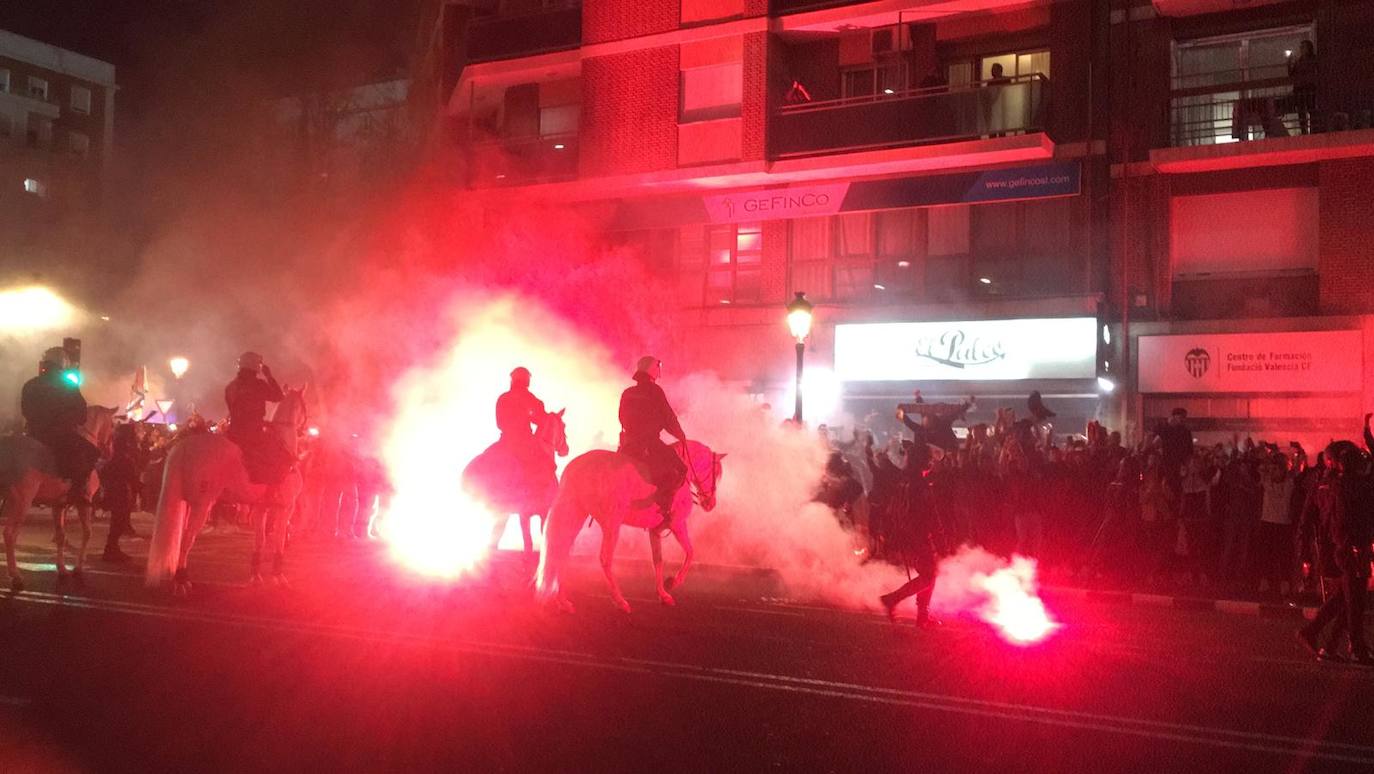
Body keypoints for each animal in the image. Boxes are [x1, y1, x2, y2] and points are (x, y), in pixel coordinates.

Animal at [0, 406, 115, 593]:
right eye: (113, 425)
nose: (110, 453)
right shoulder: (84, 504)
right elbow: (87, 532)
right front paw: (78, 568)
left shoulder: (58, 505)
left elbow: (61, 535)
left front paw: (62, 569)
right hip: (21, 502)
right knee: (10, 534)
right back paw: (16, 576)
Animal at [144, 387, 306, 593]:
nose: (303, 429)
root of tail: (184, 446)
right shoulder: (285, 508)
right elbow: (279, 541)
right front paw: (278, 577)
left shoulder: (261, 509)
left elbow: (260, 540)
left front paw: (256, 577)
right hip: (202, 505)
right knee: (187, 539)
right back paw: (181, 581)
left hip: (188, 504)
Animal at [535, 445, 725, 615]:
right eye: (715, 472)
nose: (710, 504)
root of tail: (577, 466)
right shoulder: (678, 525)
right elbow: (690, 553)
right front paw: (673, 582)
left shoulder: (655, 531)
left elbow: (658, 561)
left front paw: (663, 595)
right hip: (611, 525)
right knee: (605, 559)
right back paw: (620, 601)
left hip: (575, 516)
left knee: (561, 552)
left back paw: (563, 602)